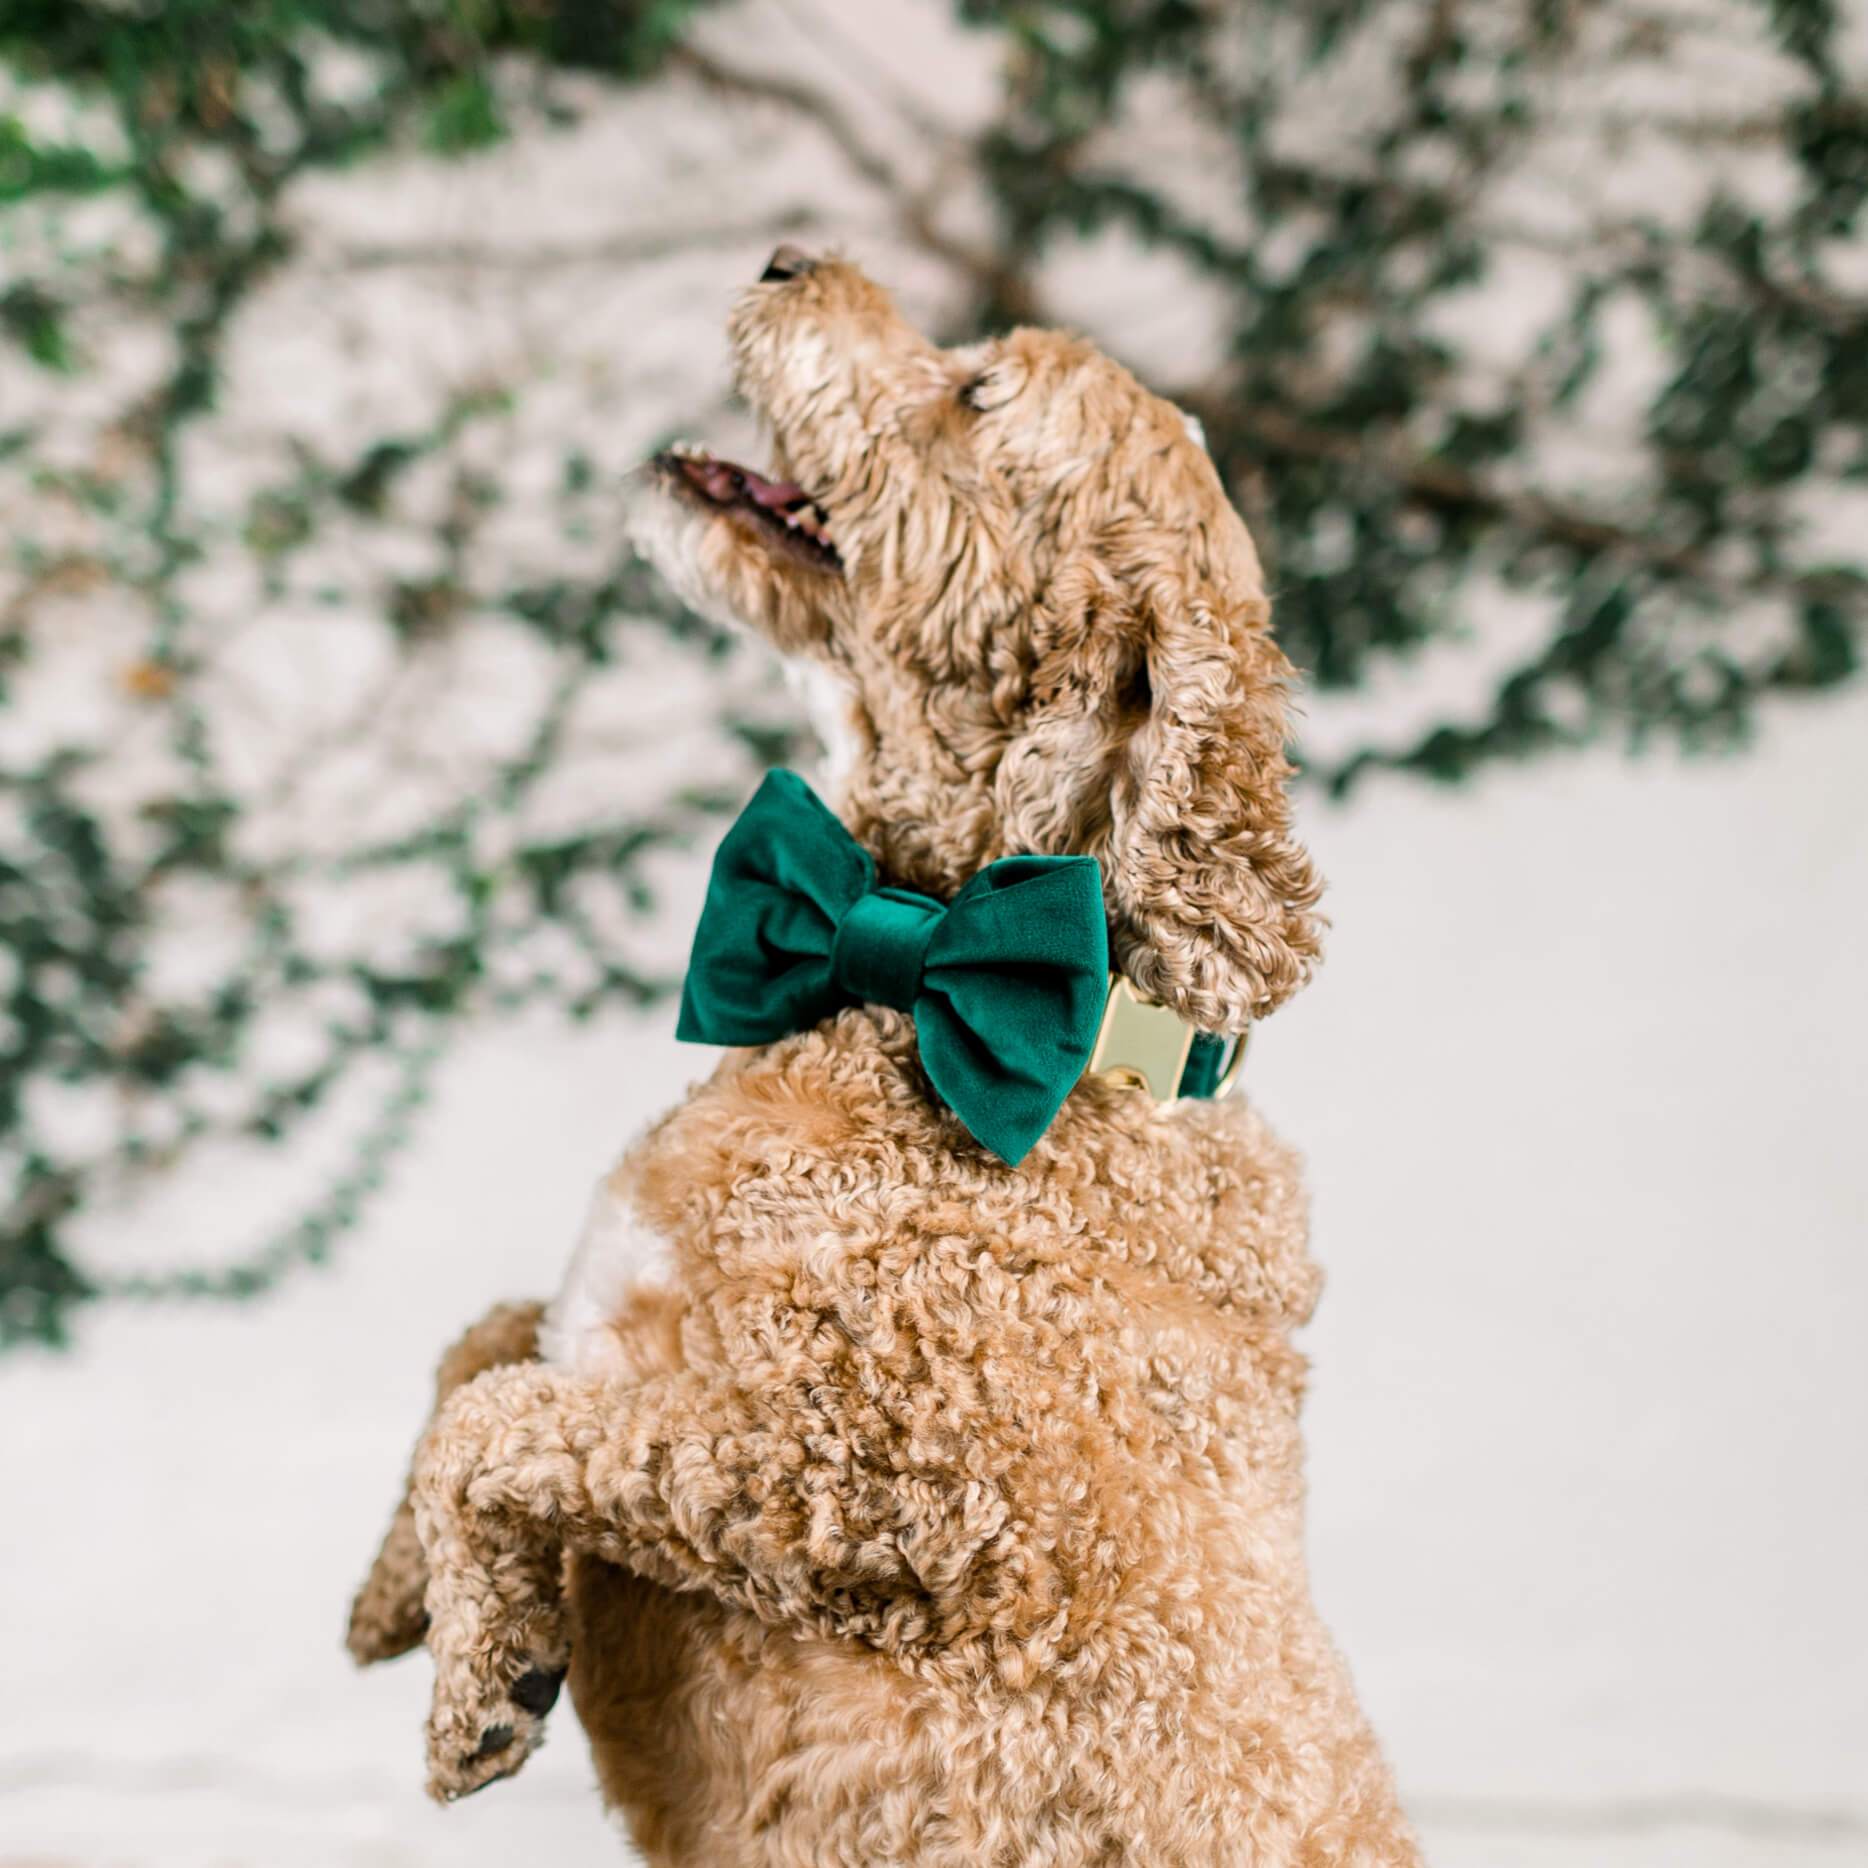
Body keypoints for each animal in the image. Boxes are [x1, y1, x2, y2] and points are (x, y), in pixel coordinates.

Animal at [347, 248, 1412, 1868]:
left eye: (974, 394)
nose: (790, 256)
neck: (932, 971)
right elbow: (480, 1341)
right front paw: (396, 1594)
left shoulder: (837, 1479)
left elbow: (495, 1412)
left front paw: (484, 1683)